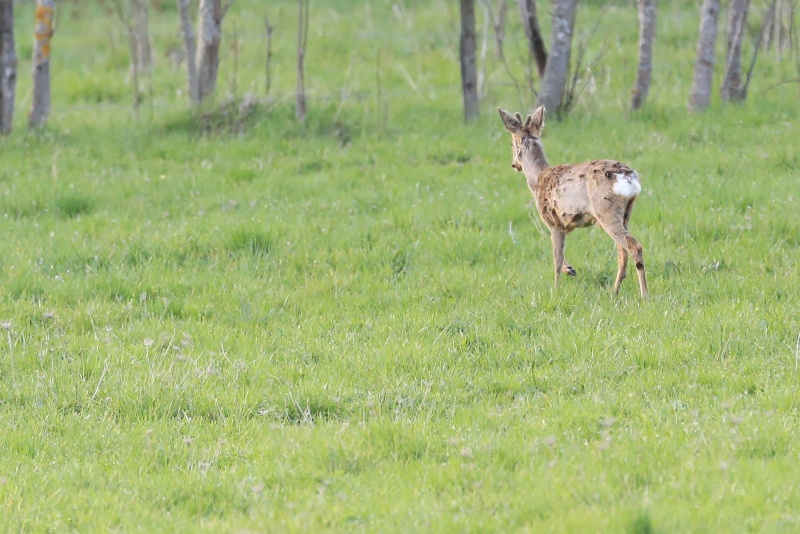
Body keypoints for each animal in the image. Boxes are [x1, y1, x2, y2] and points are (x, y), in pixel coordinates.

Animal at [500, 104, 648, 298]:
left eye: (511, 143)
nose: (514, 164)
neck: (538, 178)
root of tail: (628, 175)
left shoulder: (553, 222)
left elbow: (556, 258)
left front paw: (555, 290)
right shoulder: (563, 225)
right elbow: (561, 256)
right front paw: (570, 269)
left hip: (605, 211)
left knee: (633, 246)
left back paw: (644, 294)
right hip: (625, 213)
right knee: (622, 253)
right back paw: (614, 291)